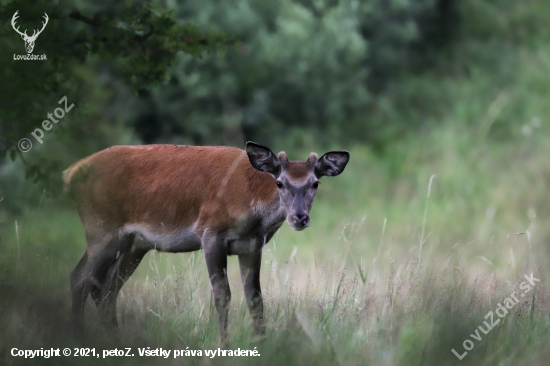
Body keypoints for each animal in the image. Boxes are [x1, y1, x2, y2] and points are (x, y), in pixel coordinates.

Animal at [64, 142, 350, 340]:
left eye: (315, 183)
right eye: (279, 182)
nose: (299, 217)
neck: (252, 202)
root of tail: (70, 173)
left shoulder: (252, 244)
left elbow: (255, 299)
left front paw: (262, 344)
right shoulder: (211, 230)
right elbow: (222, 295)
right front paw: (223, 345)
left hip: (133, 244)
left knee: (105, 287)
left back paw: (116, 342)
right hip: (101, 228)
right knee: (80, 279)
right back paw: (79, 339)